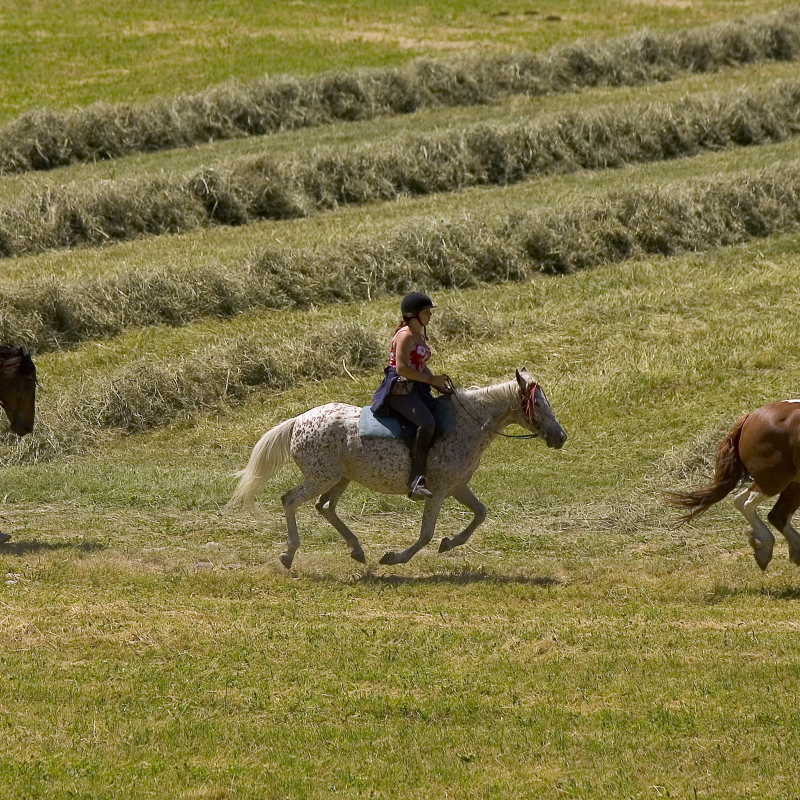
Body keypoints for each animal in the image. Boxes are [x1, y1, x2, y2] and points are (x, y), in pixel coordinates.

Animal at [230, 368, 568, 568]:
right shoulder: (438, 491)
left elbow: (480, 514)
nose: (561, 437)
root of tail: (298, 421)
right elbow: (426, 534)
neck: (466, 424)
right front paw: (395, 557)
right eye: (537, 404)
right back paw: (288, 555)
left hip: (340, 478)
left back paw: (356, 549)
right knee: (290, 500)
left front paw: (450, 543)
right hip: (320, 477)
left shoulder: (457, 486)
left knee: (325, 507)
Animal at [664, 400, 800, 568]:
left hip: (790, 483)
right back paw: (763, 546)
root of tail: (749, 418)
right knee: (745, 503)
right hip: (774, 479)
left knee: (777, 515)